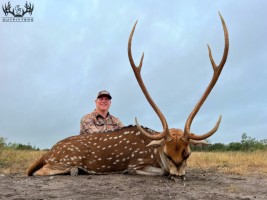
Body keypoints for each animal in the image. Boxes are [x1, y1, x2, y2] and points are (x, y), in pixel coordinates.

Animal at [26, 12, 229, 178]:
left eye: (187, 153)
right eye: (167, 153)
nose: (177, 175)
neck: (154, 152)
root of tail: (48, 152)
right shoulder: (136, 163)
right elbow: (151, 171)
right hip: (64, 158)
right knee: (37, 172)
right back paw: (75, 170)